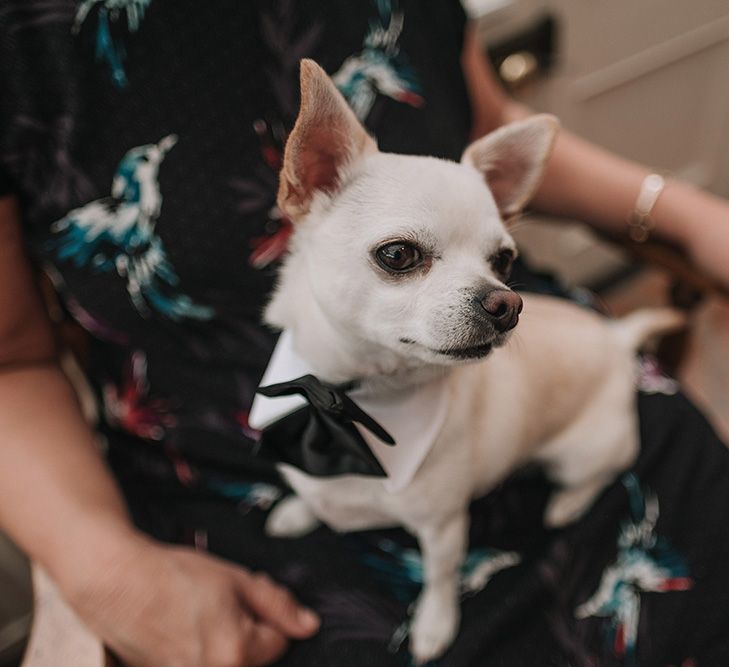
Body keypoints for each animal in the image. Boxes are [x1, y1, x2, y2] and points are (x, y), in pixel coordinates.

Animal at [258, 61, 684, 664]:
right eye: (398, 254)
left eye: (503, 261)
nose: (507, 303)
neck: (352, 403)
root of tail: (617, 337)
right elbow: (310, 491)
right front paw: (299, 511)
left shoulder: (443, 529)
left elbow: (439, 578)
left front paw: (434, 627)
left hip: (583, 452)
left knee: (600, 473)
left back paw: (566, 505)